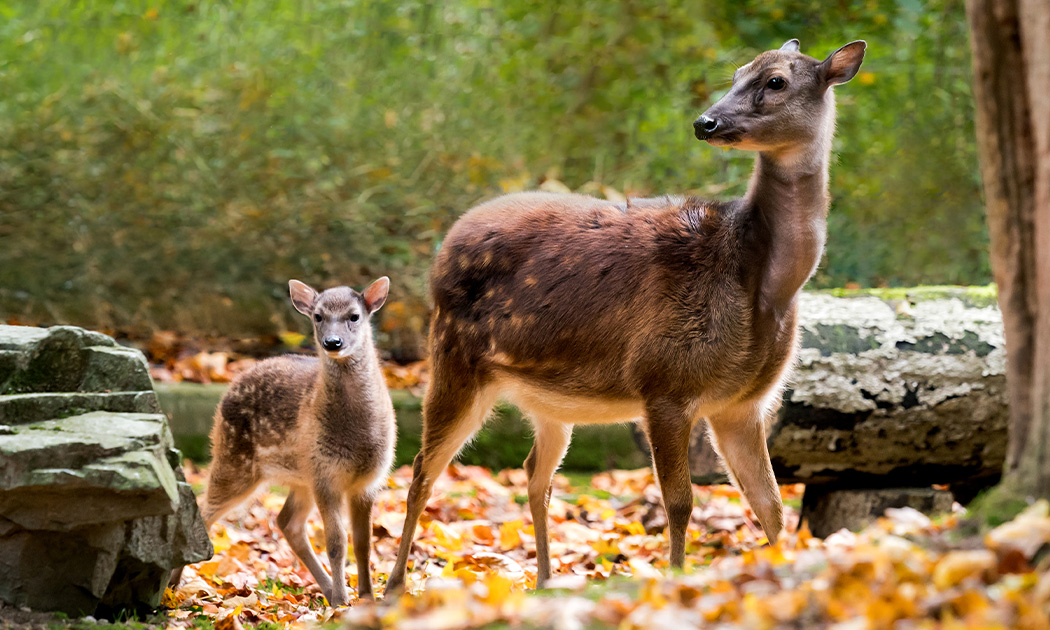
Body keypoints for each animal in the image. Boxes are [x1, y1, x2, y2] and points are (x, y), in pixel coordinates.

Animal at [178, 278, 395, 606]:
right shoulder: (325, 474)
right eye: (318, 316)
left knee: (287, 522)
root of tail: (230, 383)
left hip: (300, 476)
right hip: (234, 458)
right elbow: (336, 542)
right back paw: (172, 588)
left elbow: (363, 544)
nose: (332, 342)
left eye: (354, 316)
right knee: (205, 509)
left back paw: (326, 589)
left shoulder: (368, 480)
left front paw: (367, 598)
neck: (356, 435)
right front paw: (343, 602)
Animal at [385, 39, 866, 593]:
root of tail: (444, 247)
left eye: (775, 81)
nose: (705, 122)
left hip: (545, 398)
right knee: (422, 468)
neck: (763, 285)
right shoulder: (664, 381)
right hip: (452, 354)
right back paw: (392, 587)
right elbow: (680, 503)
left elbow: (771, 506)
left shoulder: (743, 403)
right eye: (737, 73)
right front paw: (676, 580)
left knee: (534, 472)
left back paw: (545, 580)